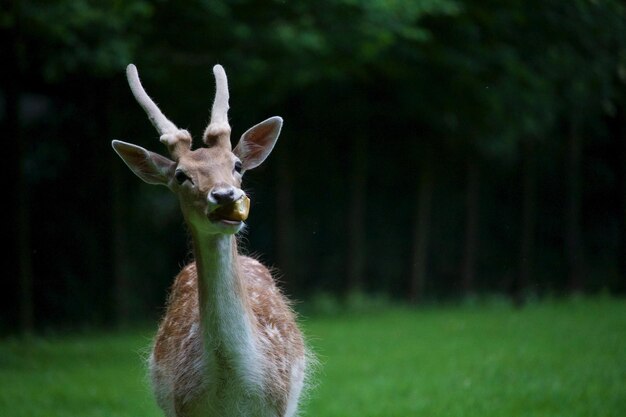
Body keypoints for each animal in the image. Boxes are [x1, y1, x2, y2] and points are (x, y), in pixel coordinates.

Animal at [111, 62, 310, 416]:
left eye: (237, 164)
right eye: (180, 175)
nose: (225, 195)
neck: (233, 391)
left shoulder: (280, 405)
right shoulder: (182, 407)